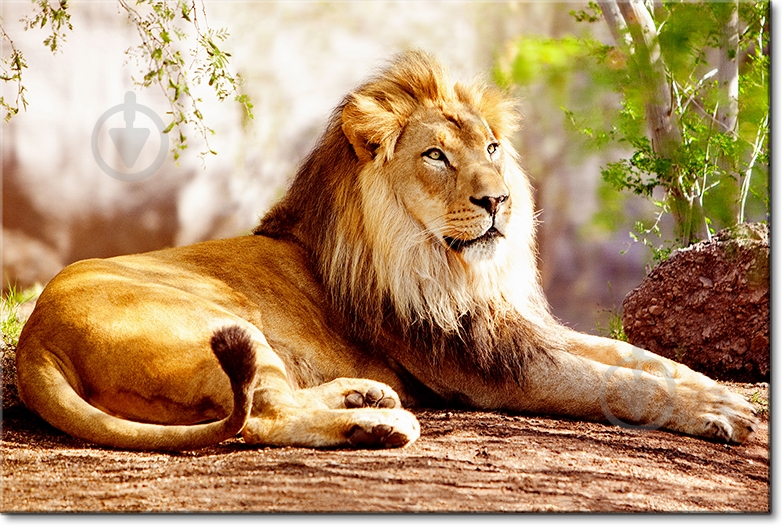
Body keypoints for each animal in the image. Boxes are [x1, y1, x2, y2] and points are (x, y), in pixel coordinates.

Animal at [15, 51, 758, 451]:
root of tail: (33, 343)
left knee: (267, 402)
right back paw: (380, 427)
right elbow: (614, 382)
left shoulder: (511, 329)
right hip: (215, 324)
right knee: (258, 415)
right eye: (436, 156)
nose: (499, 201)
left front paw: (722, 392)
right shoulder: (487, 369)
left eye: (493, 148)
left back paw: (364, 398)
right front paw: (715, 413)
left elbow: (636, 356)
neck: (448, 266)